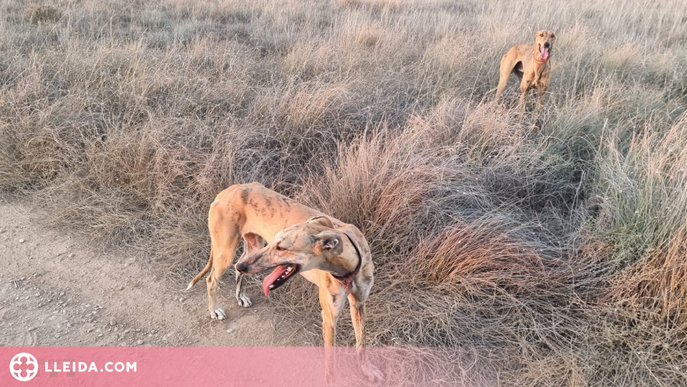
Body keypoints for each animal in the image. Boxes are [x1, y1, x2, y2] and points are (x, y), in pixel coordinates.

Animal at [185, 183, 384, 384]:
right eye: (275, 242)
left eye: (281, 247)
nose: (243, 266)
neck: (348, 268)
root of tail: (229, 190)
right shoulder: (329, 317)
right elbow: (331, 363)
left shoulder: (358, 304)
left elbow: (361, 344)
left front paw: (366, 370)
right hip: (226, 252)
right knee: (213, 278)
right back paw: (214, 310)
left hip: (252, 248)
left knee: (236, 267)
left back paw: (240, 295)